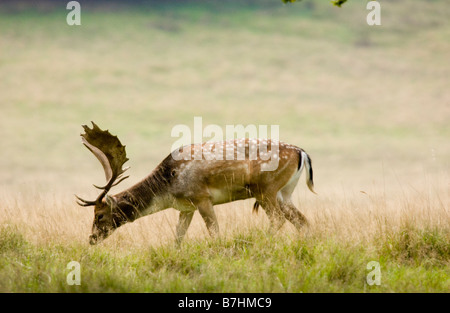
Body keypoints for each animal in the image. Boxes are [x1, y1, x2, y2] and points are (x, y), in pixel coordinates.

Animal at [75, 120, 314, 245]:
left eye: (99, 215)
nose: (91, 238)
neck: (168, 186)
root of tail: (302, 153)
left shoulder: (202, 196)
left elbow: (214, 232)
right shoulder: (185, 208)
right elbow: (178, 238)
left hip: (266, 188)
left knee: (278, 219)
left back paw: (260, 242)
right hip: (284, 193)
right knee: (302, 221)